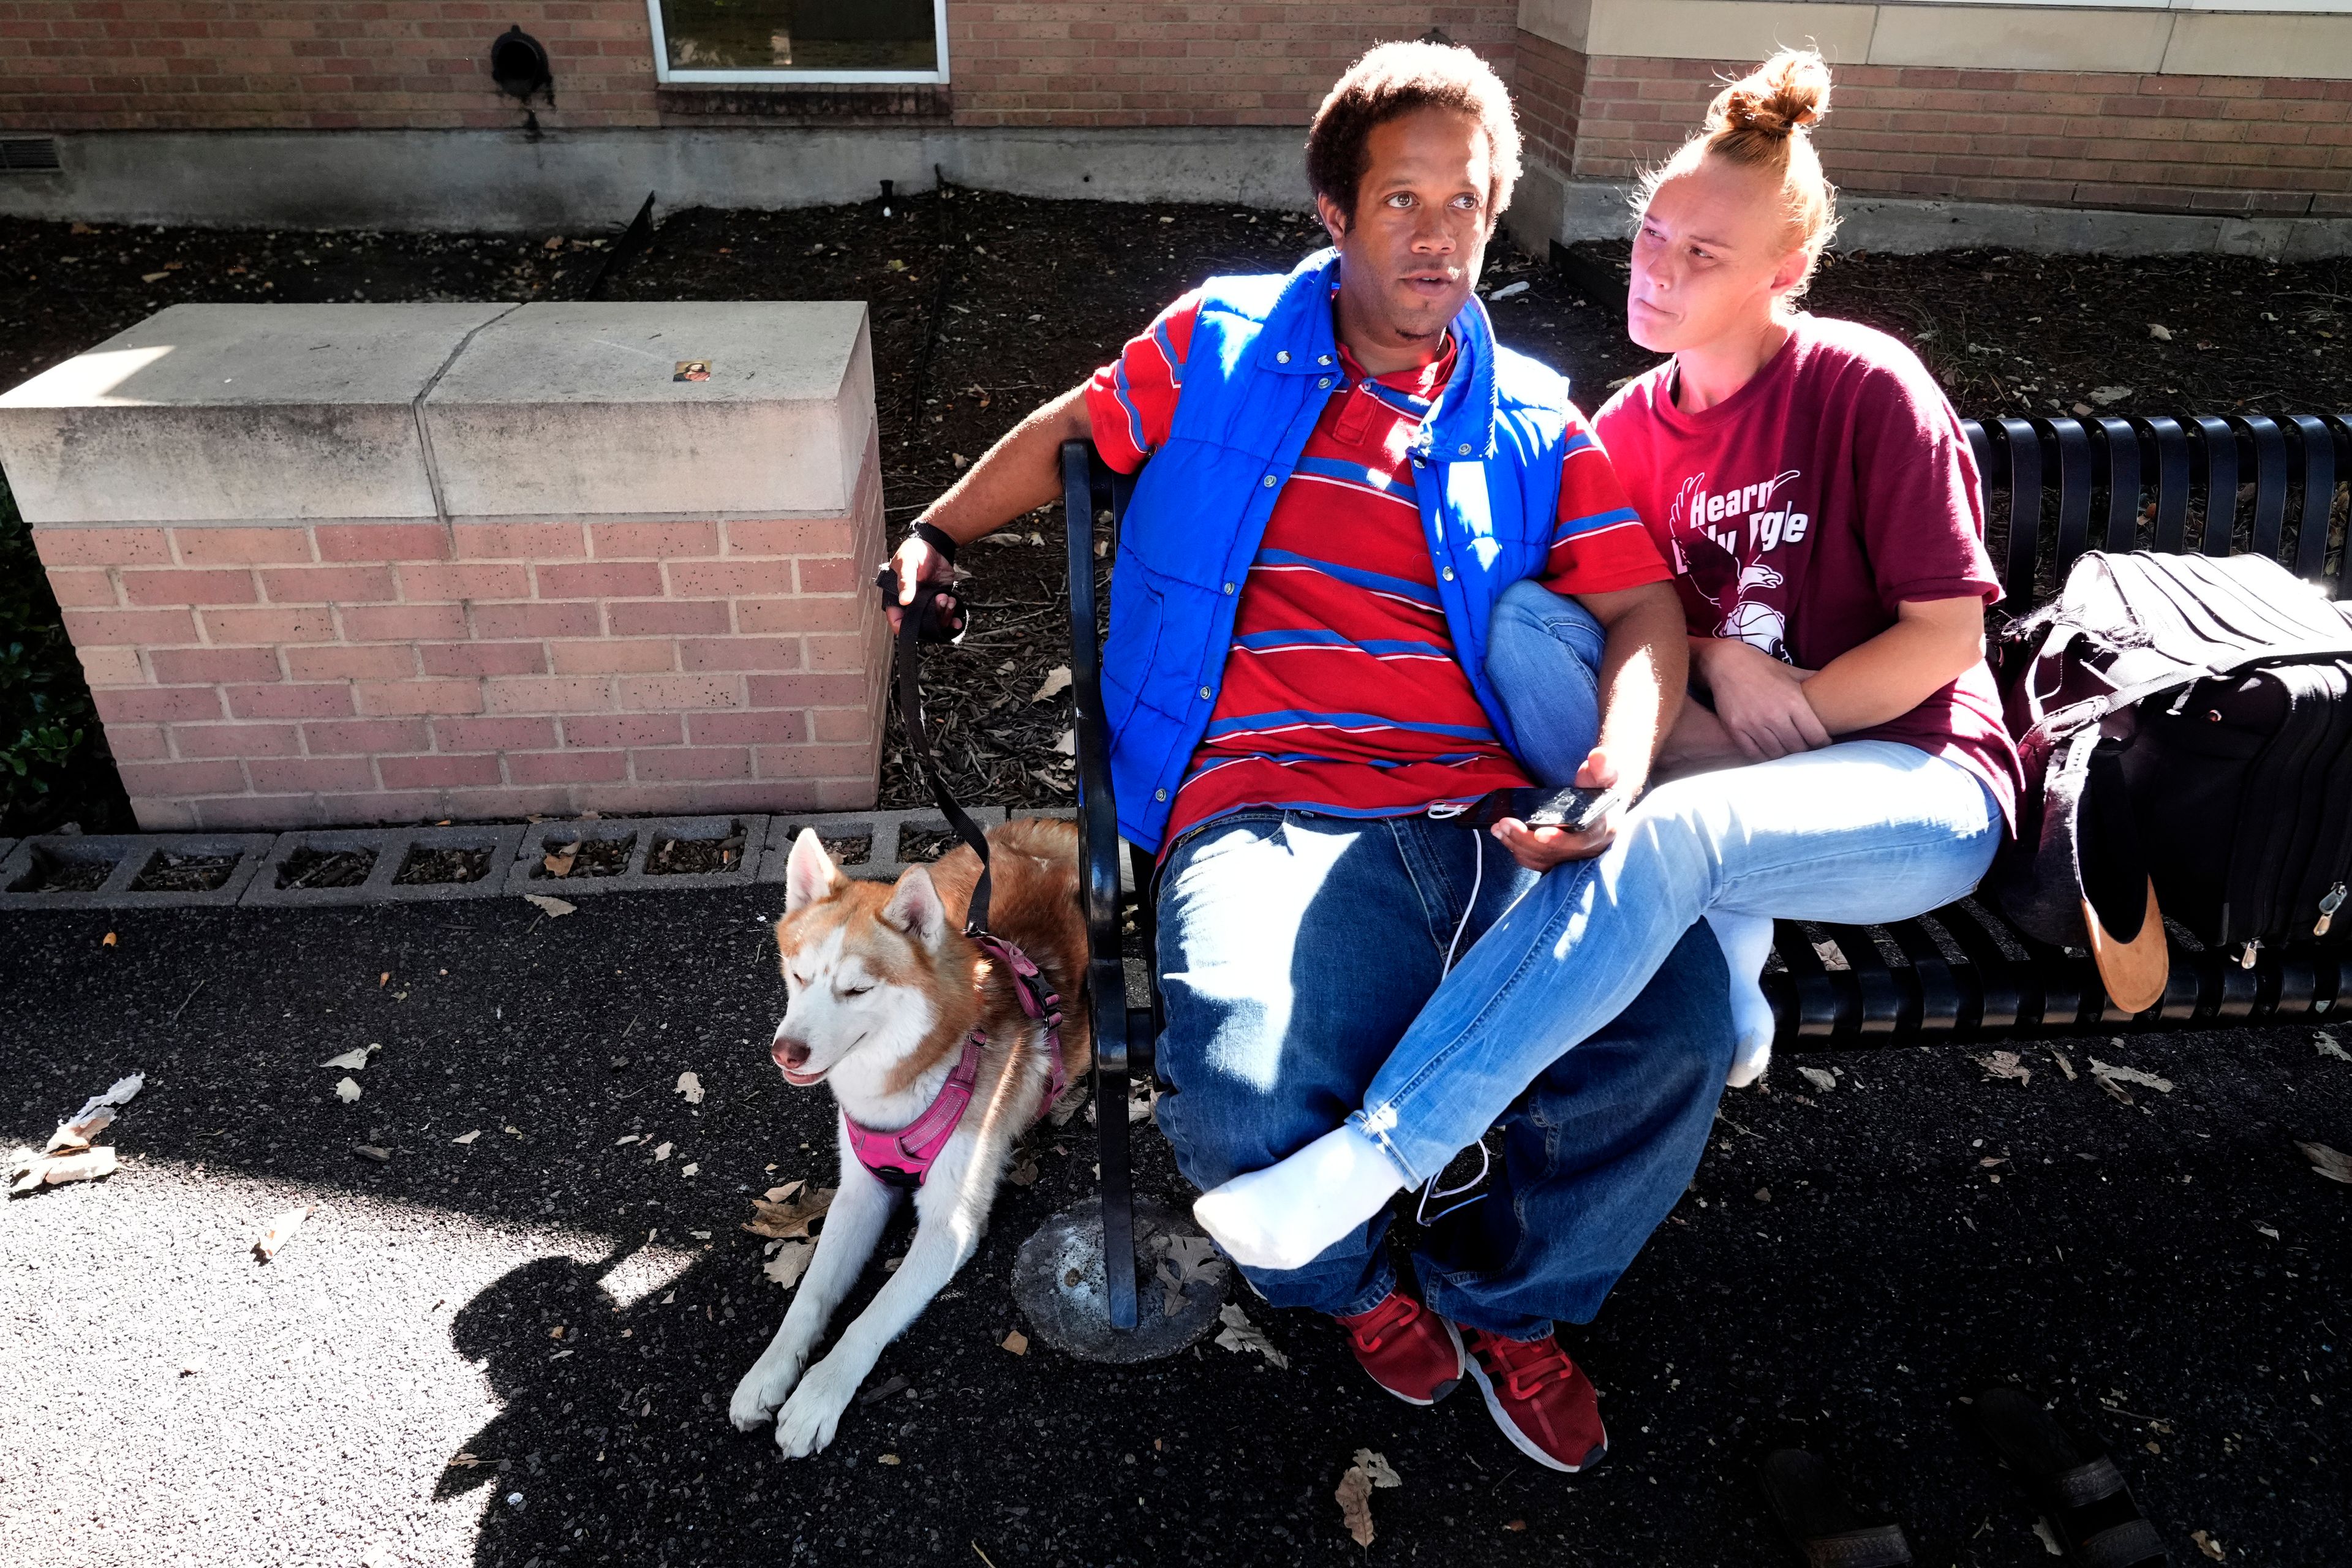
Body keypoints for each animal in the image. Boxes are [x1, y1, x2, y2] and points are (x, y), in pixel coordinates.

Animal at [729, 823, 1087, 1457]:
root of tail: (1042, 833)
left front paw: (819, 1396)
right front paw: (770, 1372)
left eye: (857, 990)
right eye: (798, 976)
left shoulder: (950, 1226)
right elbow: (811, 1295)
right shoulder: (859, 1195)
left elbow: (871, 1315)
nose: (785, 1052)